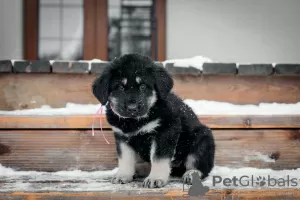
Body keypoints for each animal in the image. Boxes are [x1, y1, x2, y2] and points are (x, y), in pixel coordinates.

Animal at [92, 53, 214, 188]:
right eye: (120, 87)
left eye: (143, 86)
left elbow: (158, 158)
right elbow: (125, 158)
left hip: (202, 139)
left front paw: (155, 178)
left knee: (201, 166)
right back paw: (138, 170)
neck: (134, 122)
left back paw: (192, 174)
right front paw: (123, 175)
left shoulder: (165, 131)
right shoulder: (122, 137)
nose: (132, 108)